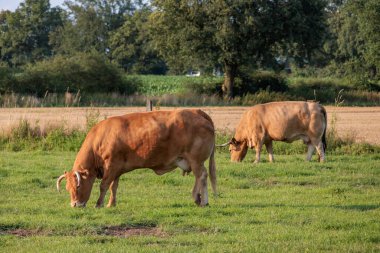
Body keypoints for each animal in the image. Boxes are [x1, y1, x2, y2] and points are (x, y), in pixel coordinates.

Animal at [56, 108, 217, 208]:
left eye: (78, 186)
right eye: (67, 187)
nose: (75, 205)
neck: (100, 138)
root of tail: (197, 111)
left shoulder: (111, 165)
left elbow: (104, 185)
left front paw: (99, 204)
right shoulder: (116, 169)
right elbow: (113, 186)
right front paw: (111, 203)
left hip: (196, 159)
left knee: (202, 176)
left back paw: (204, 201)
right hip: (191, 160)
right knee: (198, 177)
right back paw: (197, 198)